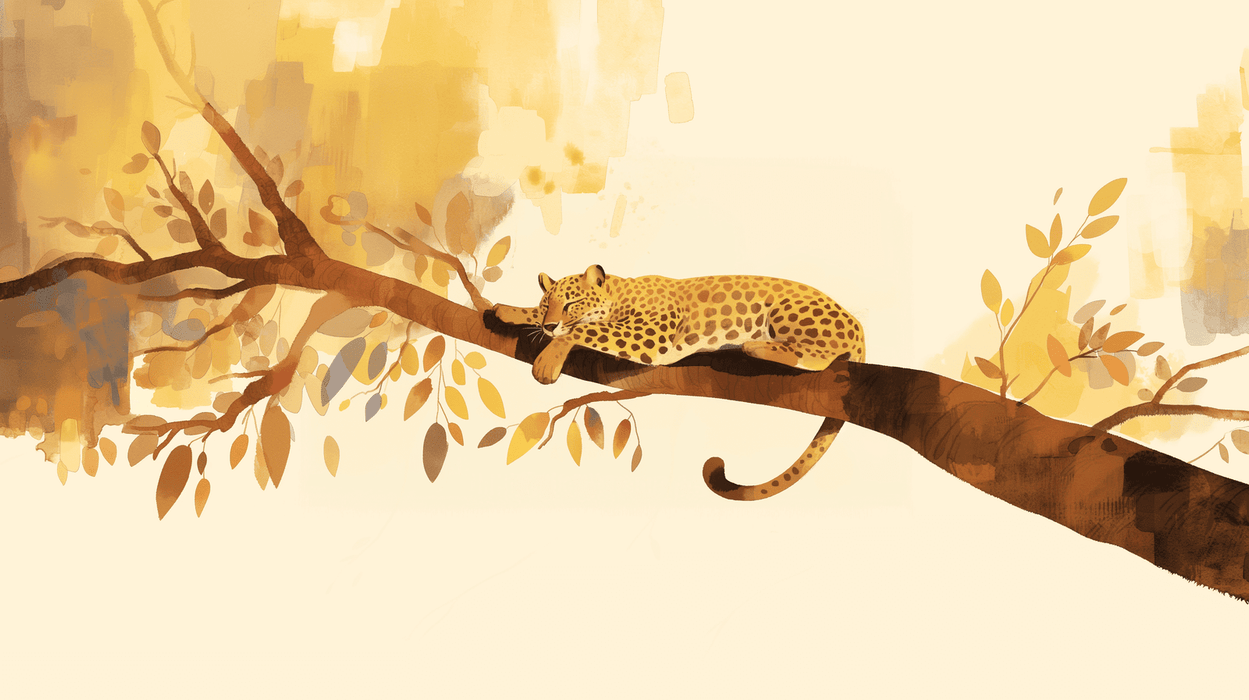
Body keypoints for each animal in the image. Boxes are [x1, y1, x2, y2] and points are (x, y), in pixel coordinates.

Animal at [491, 264, 866, 501]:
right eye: (546, 304)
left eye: (572, 302)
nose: (549, 324)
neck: (621, 291)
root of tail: (859, 325)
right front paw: (508, 310)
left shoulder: (650, 337)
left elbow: (588, 328)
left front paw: (548, 359)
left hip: (789, 310)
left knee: (823, 355)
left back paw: (755, 346)